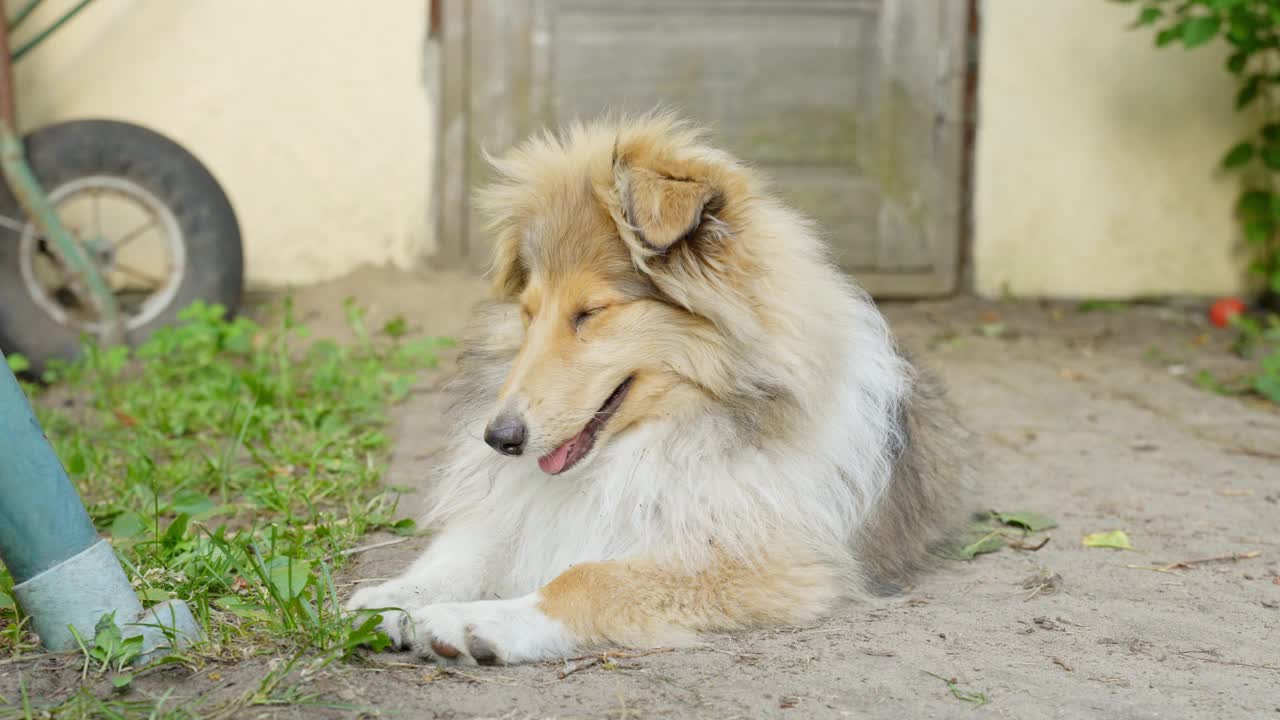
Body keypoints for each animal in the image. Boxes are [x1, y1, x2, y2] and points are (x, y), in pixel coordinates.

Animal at [345, 113, 962, 666]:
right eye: (527, 312)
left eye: (590, 312)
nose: (499, 439)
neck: (657, 435)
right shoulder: (527, 509)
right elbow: (465, 550)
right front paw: (390, 600)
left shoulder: (769, 560)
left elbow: (587, 577)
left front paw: (473, 623)